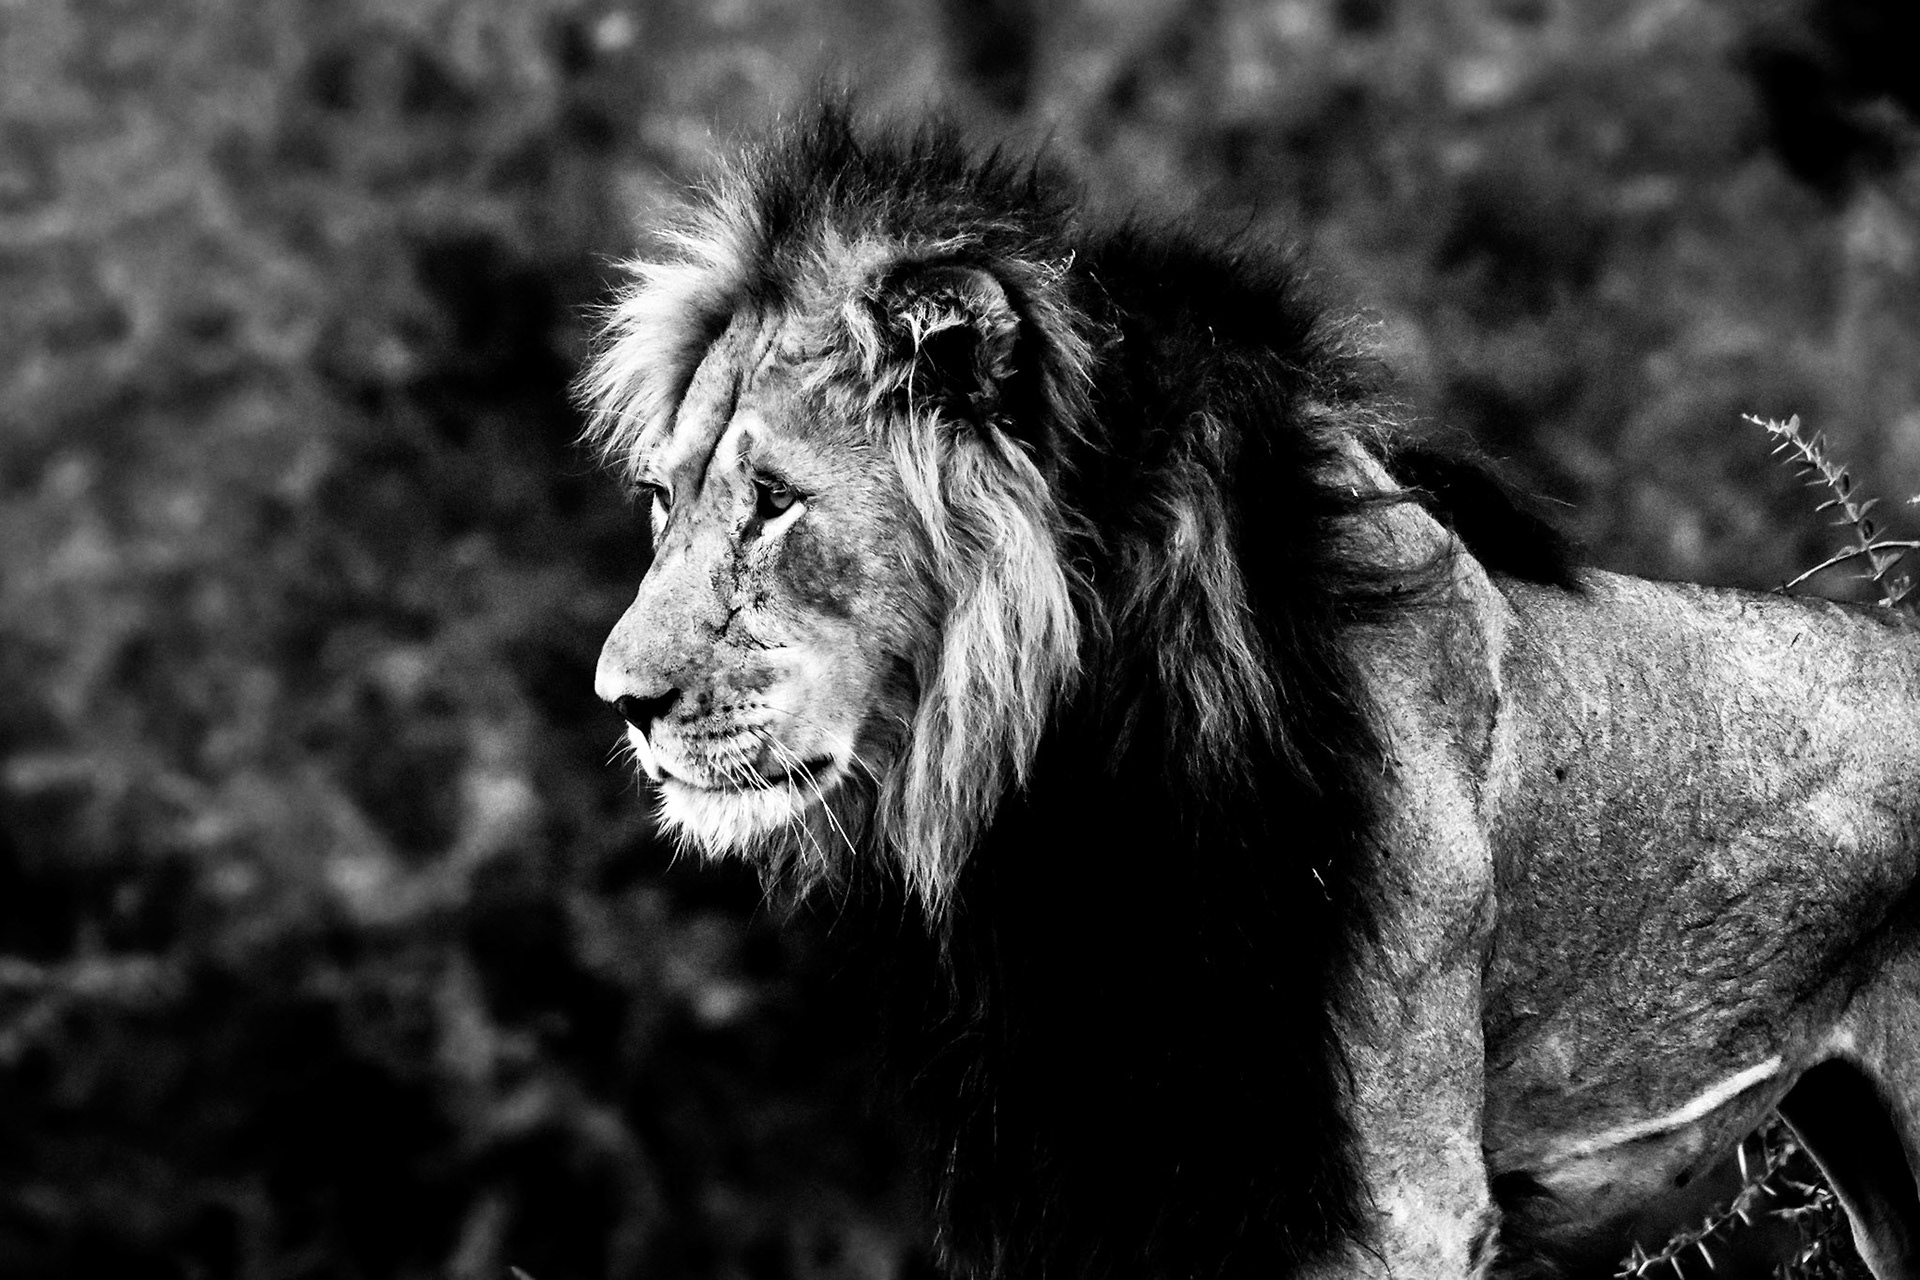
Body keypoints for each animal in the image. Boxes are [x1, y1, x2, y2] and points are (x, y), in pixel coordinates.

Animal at [582, 107, 1920, 1280]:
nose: (622, 700)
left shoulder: (1392, 1191)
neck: (1073, 786)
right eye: (661, 499)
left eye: (774, 501)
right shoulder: (1106, 1165)